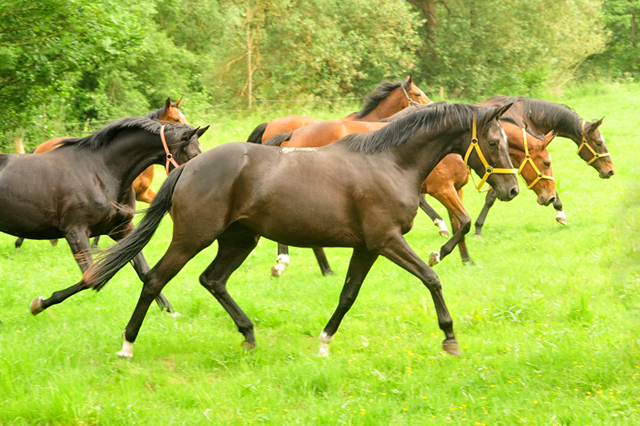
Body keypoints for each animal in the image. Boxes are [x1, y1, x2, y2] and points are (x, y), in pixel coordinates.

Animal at [0, 117, 208, 316]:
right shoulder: (75, 232)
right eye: (192, 156)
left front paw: (169, 311)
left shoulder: (122, 229)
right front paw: (39, 304)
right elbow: (92, 277)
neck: (100, 170)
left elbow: (143, 271)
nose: (197, 187)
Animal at [79, 102, 520, 360]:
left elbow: (347, 295)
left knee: (213, 279)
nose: (512, 190)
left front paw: (325, 342)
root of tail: (187, 168)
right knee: (155, 279)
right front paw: (449, 337)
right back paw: (127, 345)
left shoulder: (368, 247)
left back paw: (248, 335)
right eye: (493, 142)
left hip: (240, 239)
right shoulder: (387, 241)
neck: (391, 162)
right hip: (193, 238)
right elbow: (431, 277)